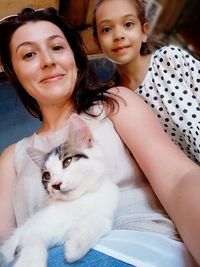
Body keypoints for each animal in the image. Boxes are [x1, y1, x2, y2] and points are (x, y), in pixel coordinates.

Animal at [0, 114, 119, 267]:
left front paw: (75, 246)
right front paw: (30, 261)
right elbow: (33, 241)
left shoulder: (104, 215)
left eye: (67, 162)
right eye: (47, 176)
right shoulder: (37, 227)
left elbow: (95, 223)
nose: (56, 184)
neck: (79, 200)